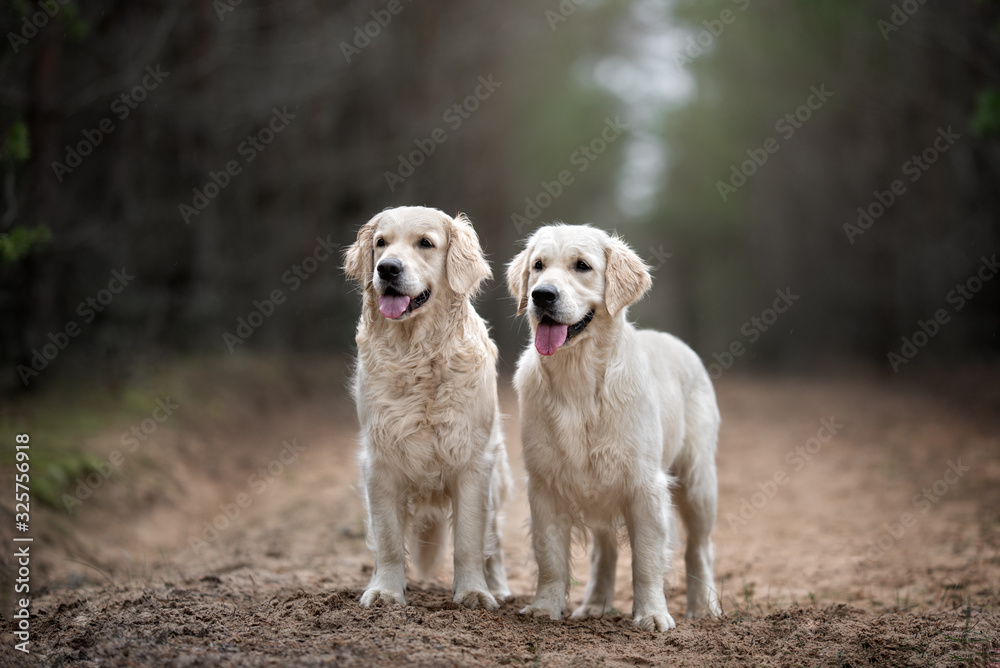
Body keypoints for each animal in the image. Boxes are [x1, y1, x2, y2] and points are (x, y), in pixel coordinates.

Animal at [346, 207, 516, 612]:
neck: (417, 354)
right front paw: (385, 591)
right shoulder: (380, 462)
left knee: (496, 542)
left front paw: (473, 592)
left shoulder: (473, 462)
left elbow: (469, 541)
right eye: (381, 243)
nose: (387, 269)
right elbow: (388, 540)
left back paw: (499, 586)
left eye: (425, 243)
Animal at [508, 224, 720, 632]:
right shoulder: (544, 484)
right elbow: (550, 557)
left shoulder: (644, 485)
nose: (541, 295)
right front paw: (544, 607)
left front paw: (652, 614)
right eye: (538, 265)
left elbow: (647, 561)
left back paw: (705, 607)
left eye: (582, 266)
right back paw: (594, 606)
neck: (578, 380)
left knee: (699, 548)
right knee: (604, 552)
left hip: (698, 481)